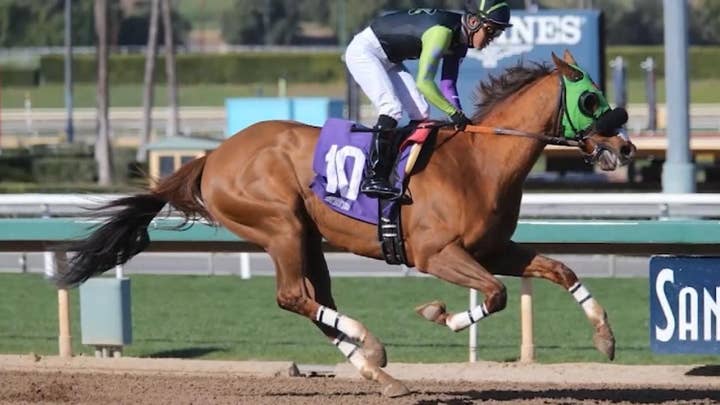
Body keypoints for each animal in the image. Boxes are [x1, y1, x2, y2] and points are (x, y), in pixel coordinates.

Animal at [57, 49, 636, 394]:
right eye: (591, 99)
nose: (626, 146)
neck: (478, 163)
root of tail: (212, 156)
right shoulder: (437, 254)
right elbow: (494, 295)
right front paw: (436, 313)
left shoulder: (493, 248)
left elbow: (559, 270)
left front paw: (606, 338)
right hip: (281, 226)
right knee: (294, 295)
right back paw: (372, 347)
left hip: (307, 237)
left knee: (316, 301)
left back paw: (378, 371)